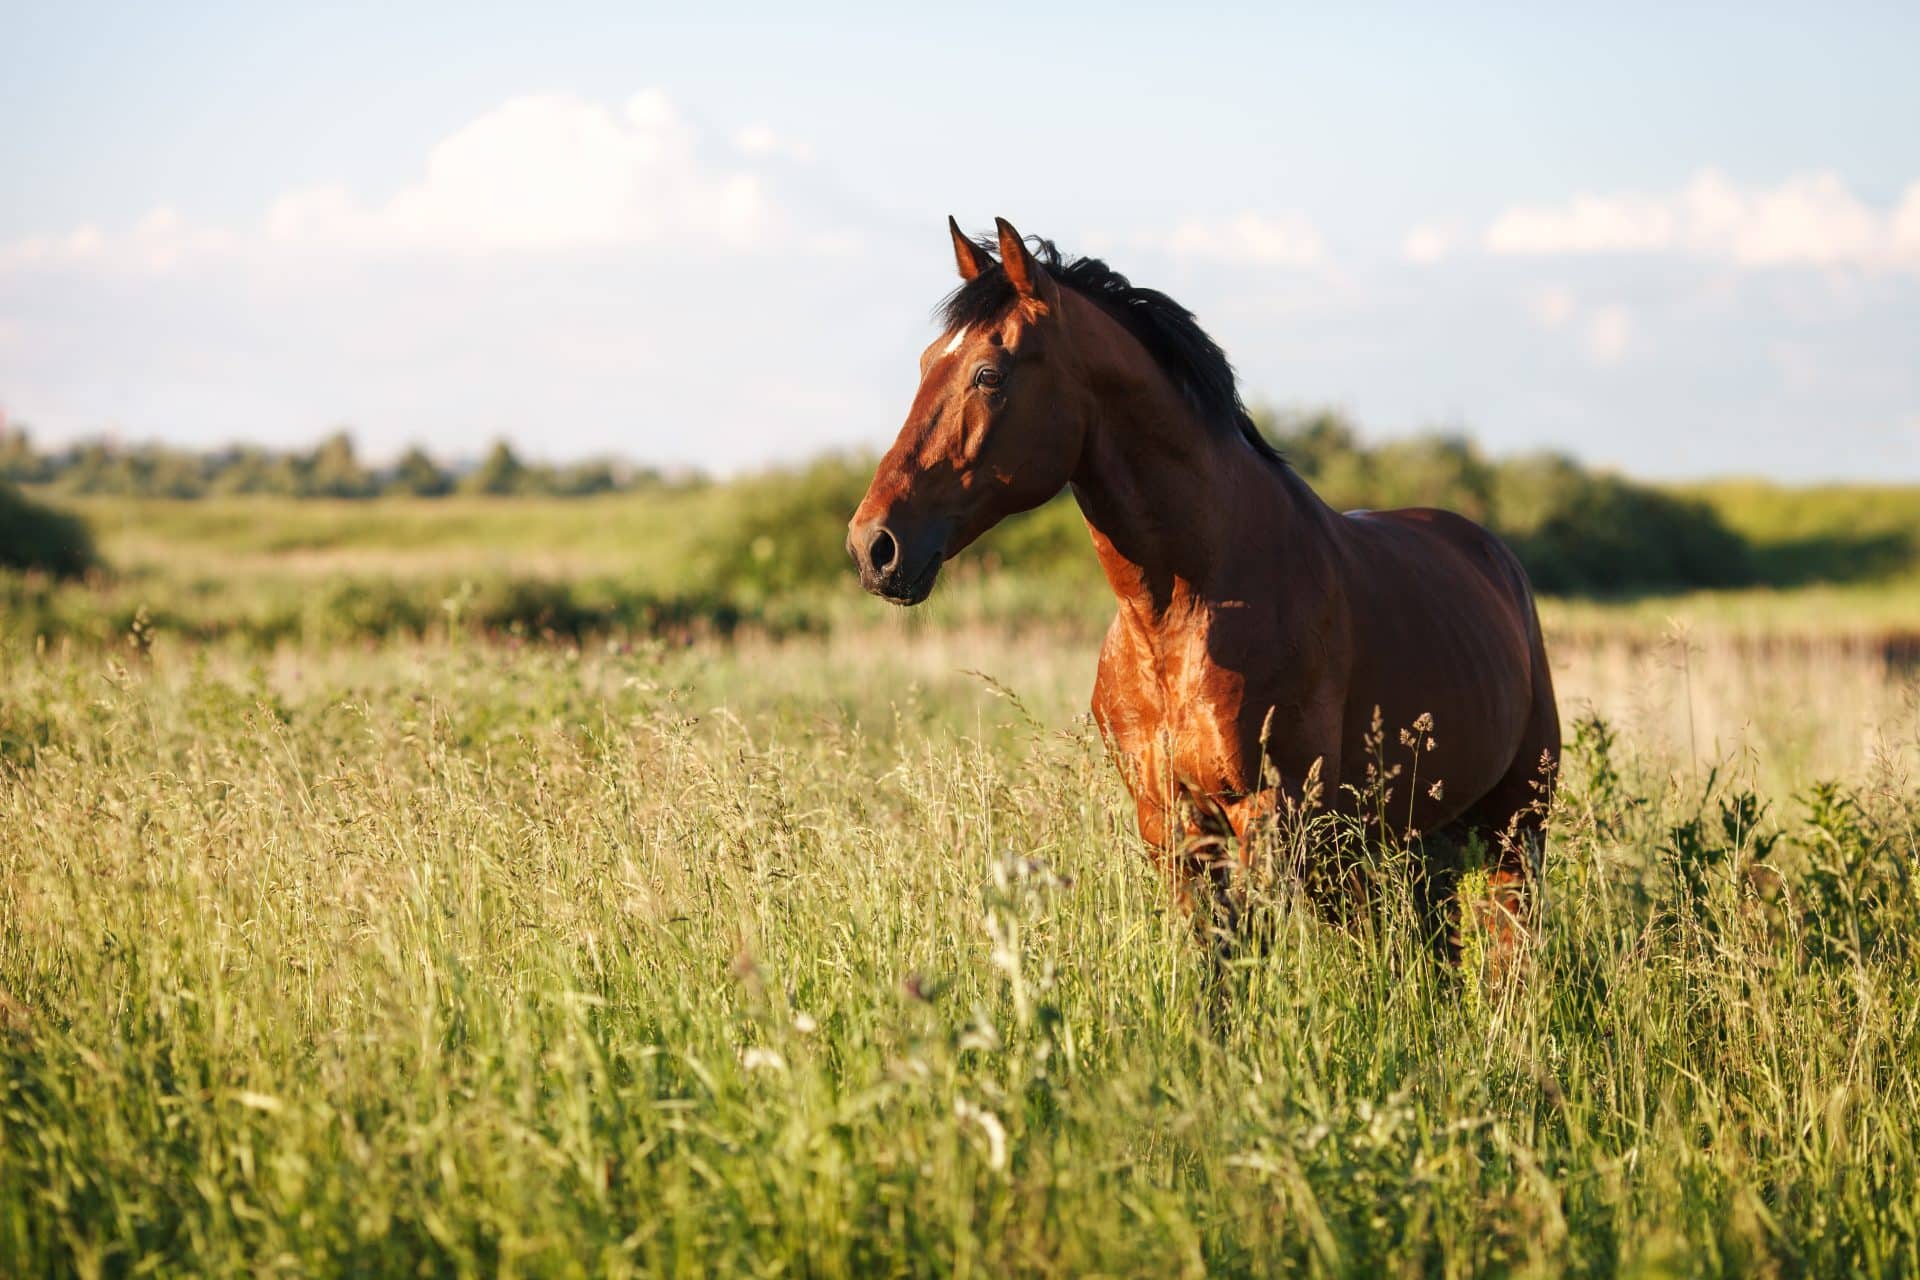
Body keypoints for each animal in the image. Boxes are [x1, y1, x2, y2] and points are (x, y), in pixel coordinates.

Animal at [856, 214, 1559, 967]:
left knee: (1509, 946)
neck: (1184, 614)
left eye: (989, 374)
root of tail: (1493, 557)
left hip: (1515, 825)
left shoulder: (1272, 818)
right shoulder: (1172, 826)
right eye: (927, 362)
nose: (873, 545)